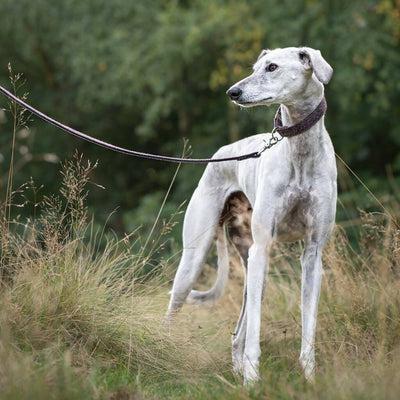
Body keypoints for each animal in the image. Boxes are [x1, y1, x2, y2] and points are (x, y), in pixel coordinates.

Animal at [164, 45, 336, 382]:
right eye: (256, 67)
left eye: (272, 67)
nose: (232, 92)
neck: (300, 150)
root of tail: (220, 154)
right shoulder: (262, 247)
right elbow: (255, 332)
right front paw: (255, 380)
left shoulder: (313, 255)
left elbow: (308, 325)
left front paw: (309, 377)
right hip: (198, 260)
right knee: (175, 309)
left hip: (254, 264)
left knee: (237, 333)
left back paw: (237, 373)